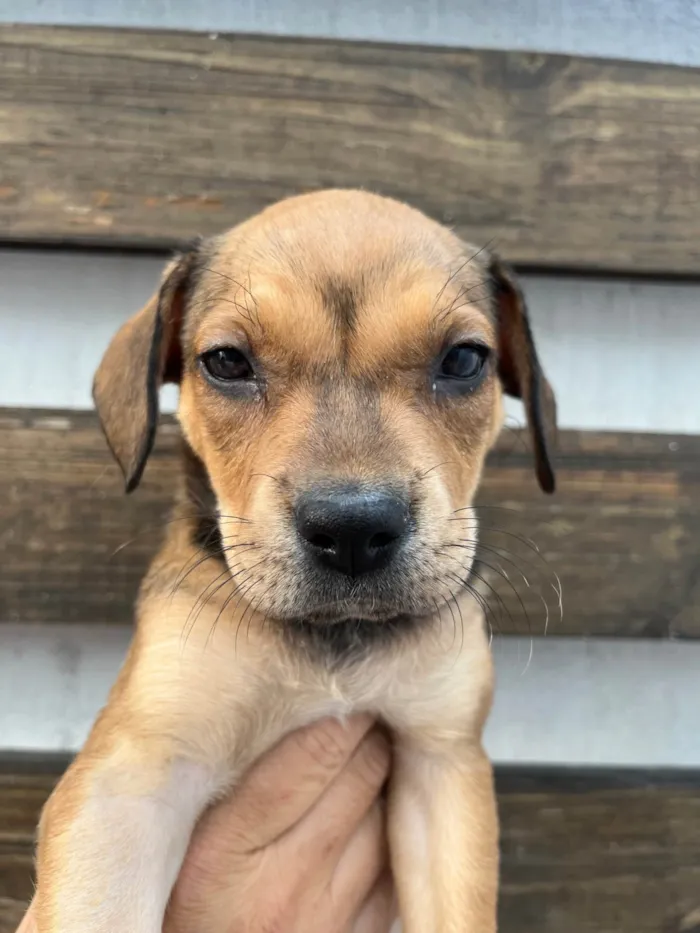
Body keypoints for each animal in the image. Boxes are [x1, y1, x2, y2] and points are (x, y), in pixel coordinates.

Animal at [35, 189, 556, 932]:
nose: (354, 529)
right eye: (227, 362)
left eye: (463, 360)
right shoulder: (134, 773)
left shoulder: (442, 759)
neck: (330, 640)